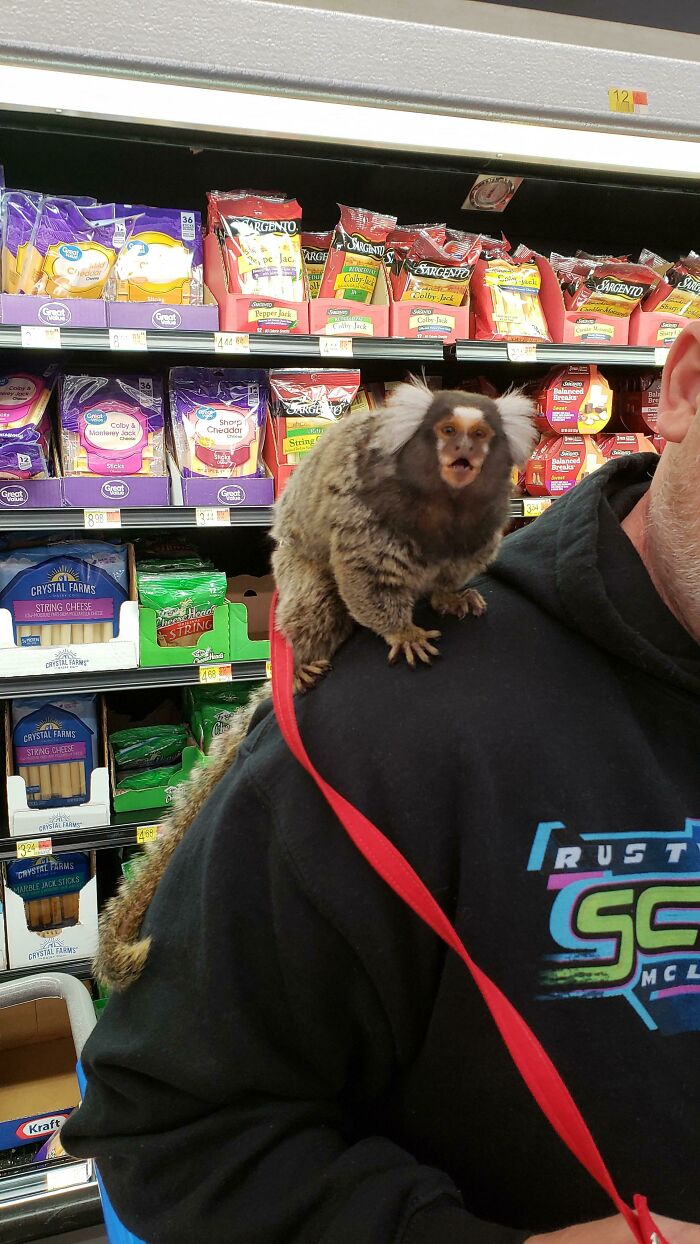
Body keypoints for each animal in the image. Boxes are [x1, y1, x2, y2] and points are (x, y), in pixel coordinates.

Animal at [95, 379, 536, 991]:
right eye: (447, 430)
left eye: (482, 434)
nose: (463, 451)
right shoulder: (367, 521)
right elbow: (361, 578)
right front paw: (399, 630)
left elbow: (452, 573)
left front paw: (451, 597)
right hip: (297, 578)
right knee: (319, 598)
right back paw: (302, 660)